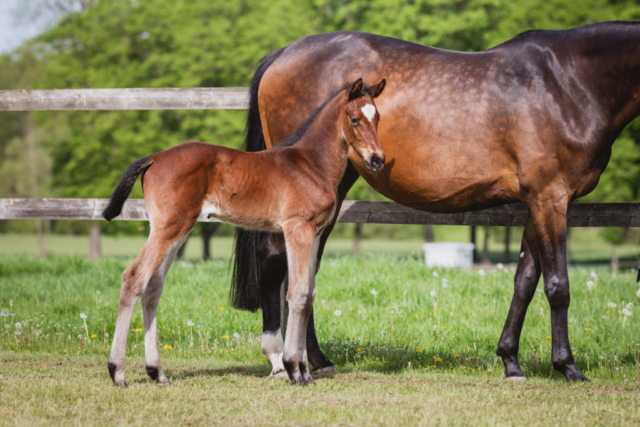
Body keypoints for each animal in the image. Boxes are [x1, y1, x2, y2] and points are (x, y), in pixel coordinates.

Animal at [102, 77, 388, 388]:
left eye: (378, 118)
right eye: (354, 118)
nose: (377, 159)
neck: (311, 164)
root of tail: (154, 158)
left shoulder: (314, 232)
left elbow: (309, 295)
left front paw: (305, 370)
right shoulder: (297, 228)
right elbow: (297, 294)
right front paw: (293, 368)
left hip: (177, 229)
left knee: (153, 286)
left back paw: (157, 372)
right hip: (170, 226)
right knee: (133, 277)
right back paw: (117, 372)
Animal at [232, 20, 640, 382]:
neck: (566, 82)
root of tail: (283, 54)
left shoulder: (538, 201)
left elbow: (524, 279)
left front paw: (510, 361)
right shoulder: (551, 197)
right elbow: (557, 286)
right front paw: (567, 366)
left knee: (303, 269)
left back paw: (310, 359)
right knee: (279, 262)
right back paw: (286, 360)